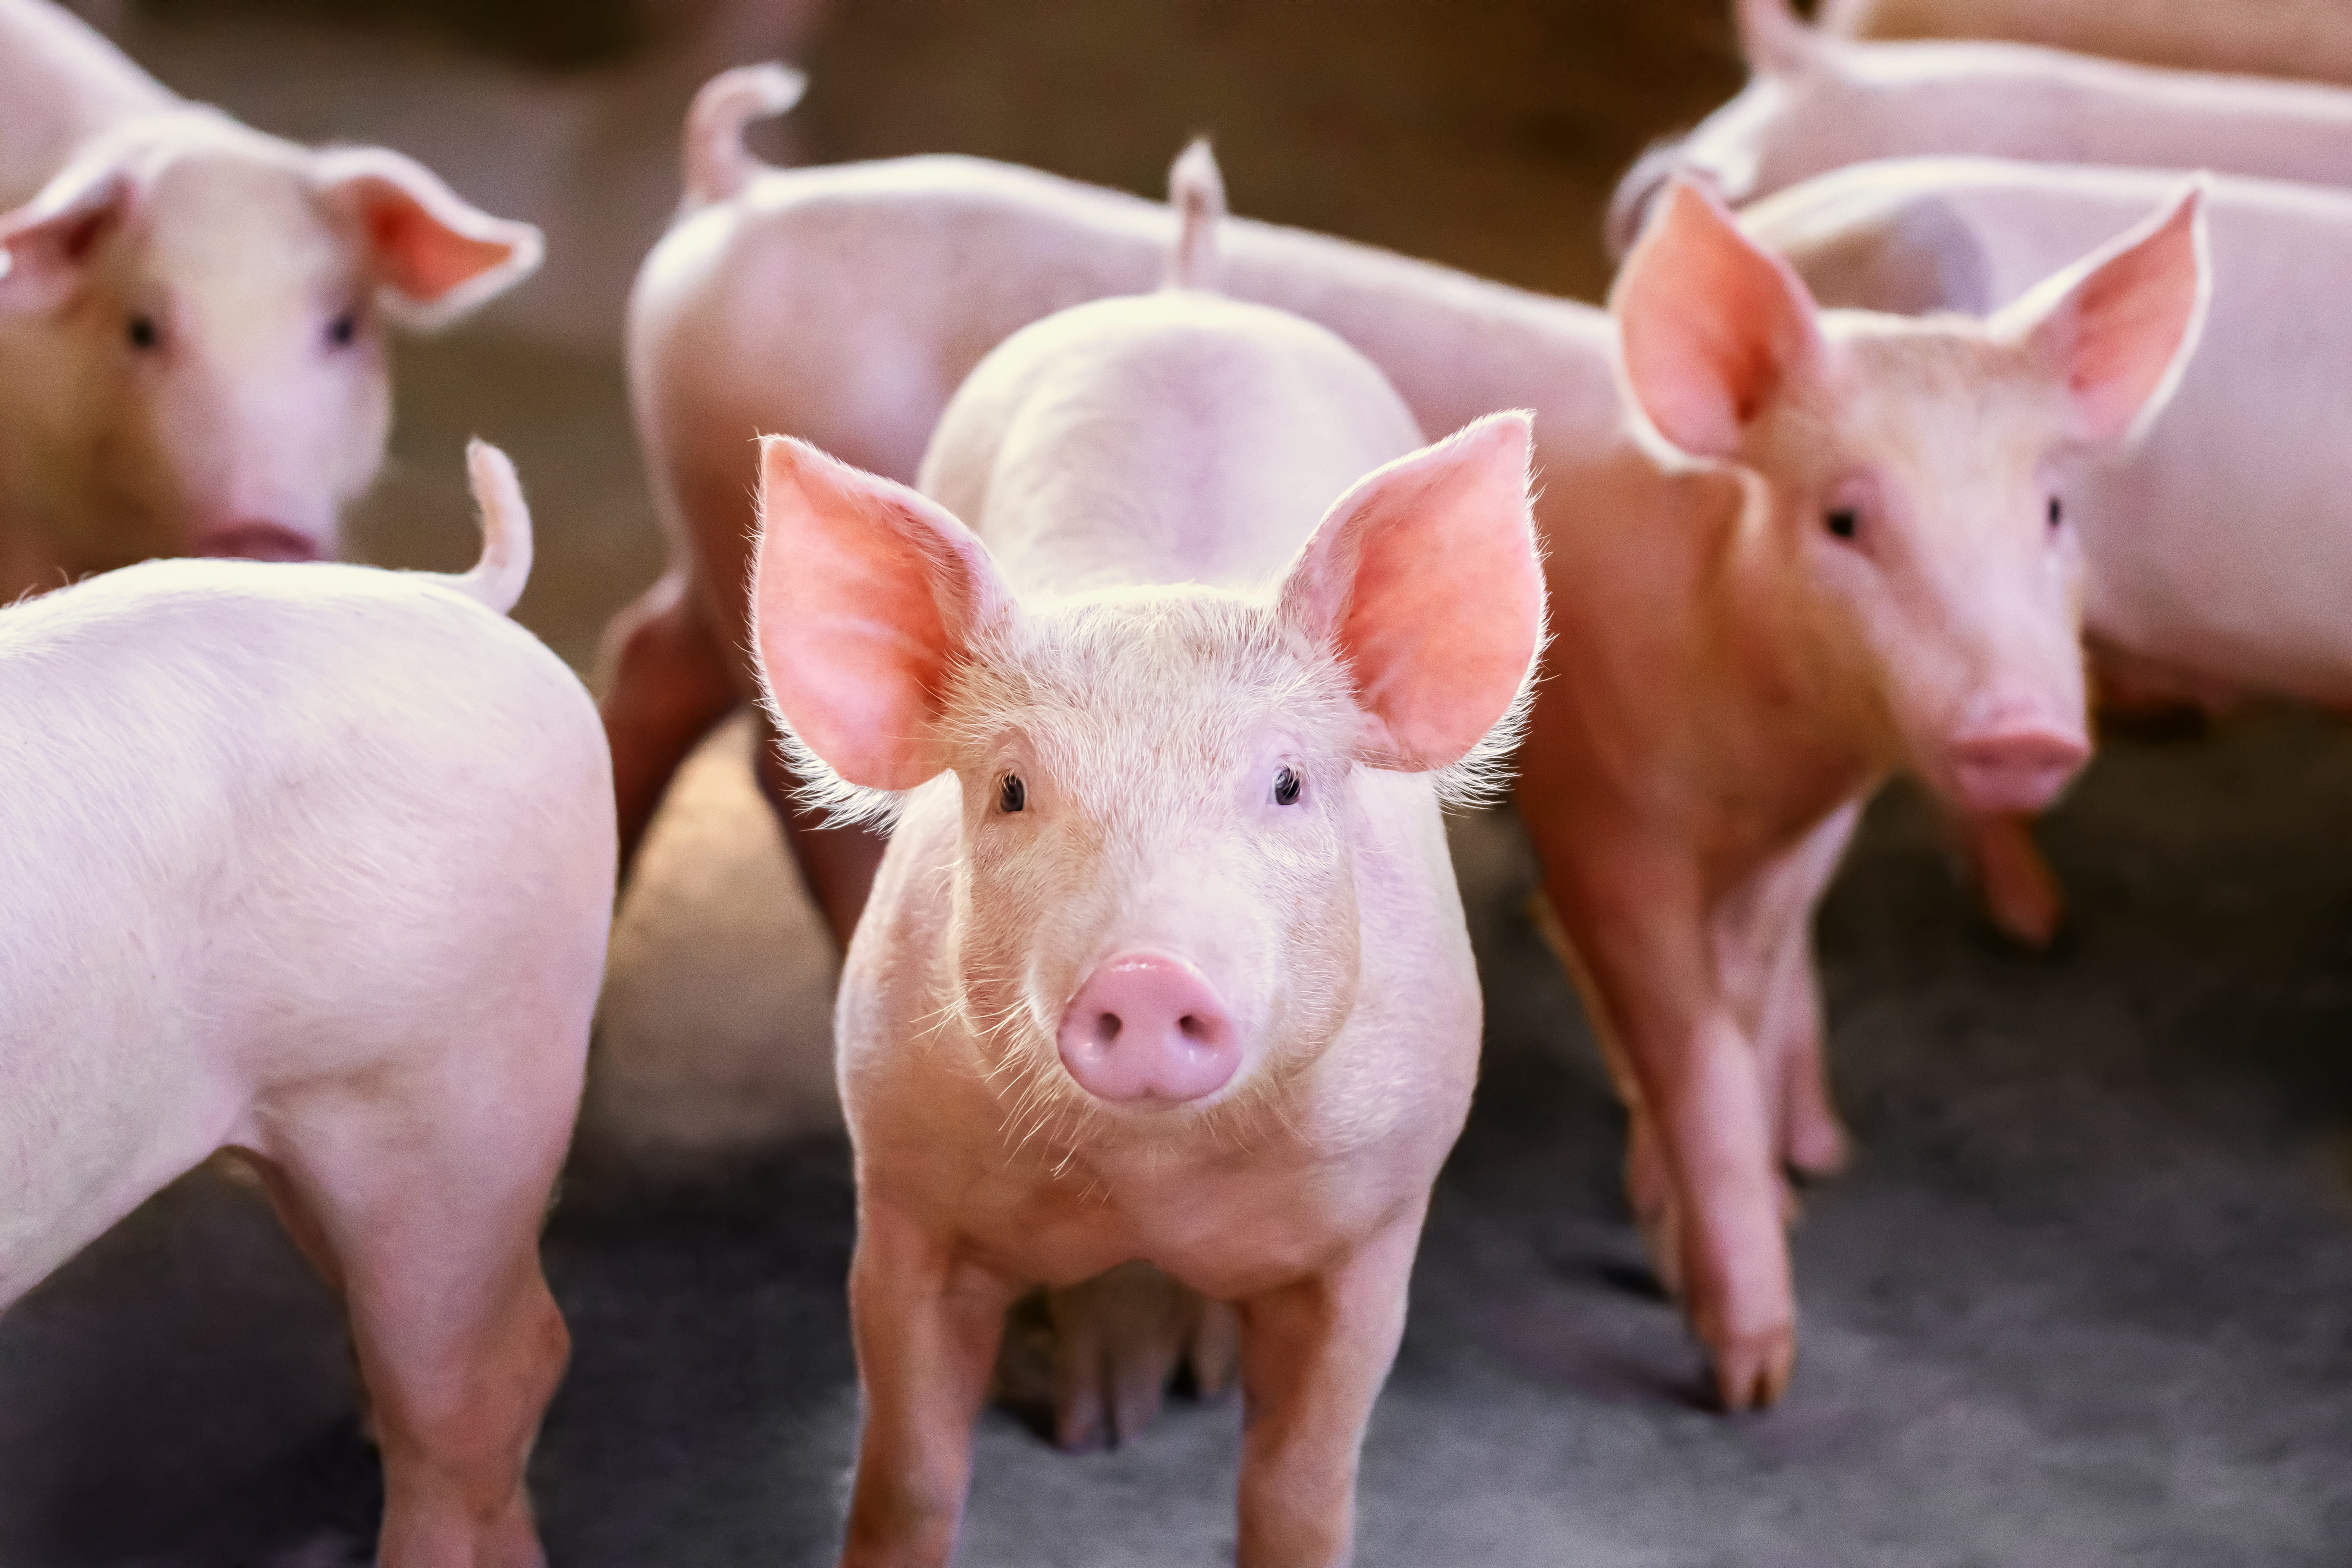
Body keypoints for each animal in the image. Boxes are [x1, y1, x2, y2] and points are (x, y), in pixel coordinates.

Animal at [750, 159, 1545, 1564]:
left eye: (1287, 785)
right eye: (1013, 792)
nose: (1148, 977)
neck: (1150, 1181)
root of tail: (1189, 290)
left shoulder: (1374, 1223)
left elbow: (1301, 1484)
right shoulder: (901, 1190)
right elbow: (906, 1472)